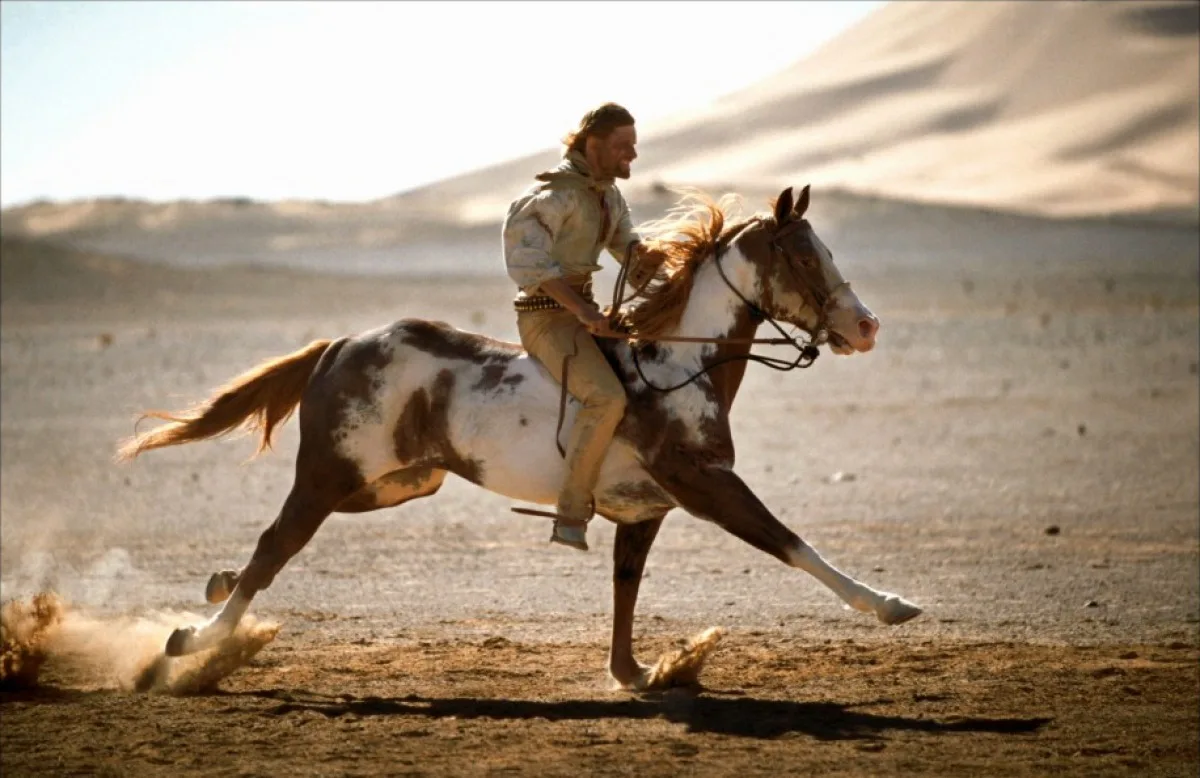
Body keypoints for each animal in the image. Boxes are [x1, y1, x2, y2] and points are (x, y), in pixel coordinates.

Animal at [119, 187, 916, 686]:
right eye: (805, 256)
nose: (867, 326)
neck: (674, 366)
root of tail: (341, 344)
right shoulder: (708, 486)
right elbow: (792, 544)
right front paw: (889, 604)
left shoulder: (646, 509)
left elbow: (626, 587)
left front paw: (634, 673)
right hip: (326, 477)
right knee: (273, 547)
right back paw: (192, 641)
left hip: (399, 483)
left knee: (266, 550)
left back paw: (212, 593)